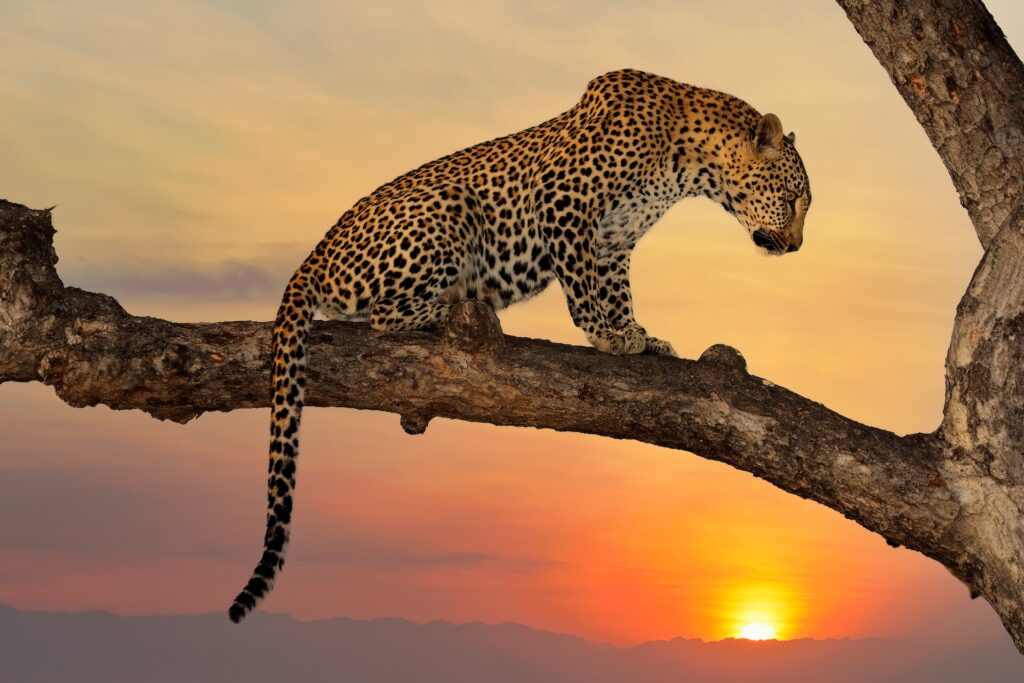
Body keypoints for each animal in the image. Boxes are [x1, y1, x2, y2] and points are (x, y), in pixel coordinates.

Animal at [228, 68, 811, 622]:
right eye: (792, 200)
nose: (797, 247)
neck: (688, 163)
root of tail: (314, 255)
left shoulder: (614, 239)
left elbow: (617, 288)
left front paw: (639, 335)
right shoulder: (563, 203)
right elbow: (583, 286)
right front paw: (606, 334)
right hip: (448, 206)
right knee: (384, 316)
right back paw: (451, 309)